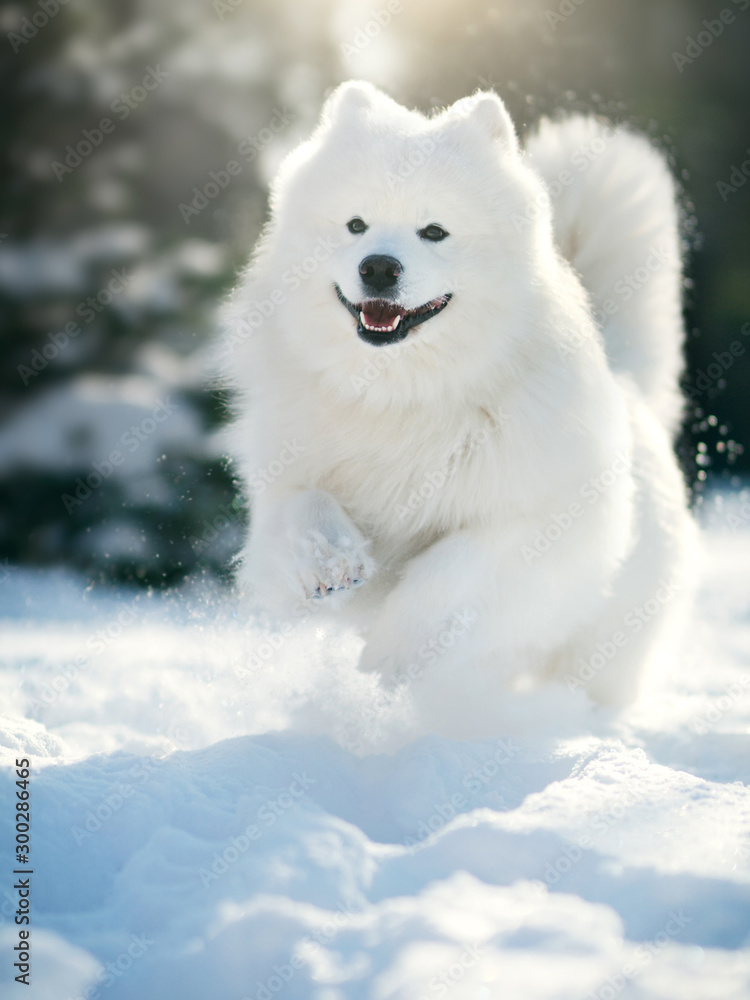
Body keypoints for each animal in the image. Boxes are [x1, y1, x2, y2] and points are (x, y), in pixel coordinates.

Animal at [223, 82, 700, 708]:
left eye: (434, 231)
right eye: (355, 224)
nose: (378, 267)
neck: (400, 398)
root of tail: (631, 393)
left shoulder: (534, 527)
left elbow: (448, 572)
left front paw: (390, 654)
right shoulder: (282, 486)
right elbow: (305, 509)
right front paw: (331, 564)